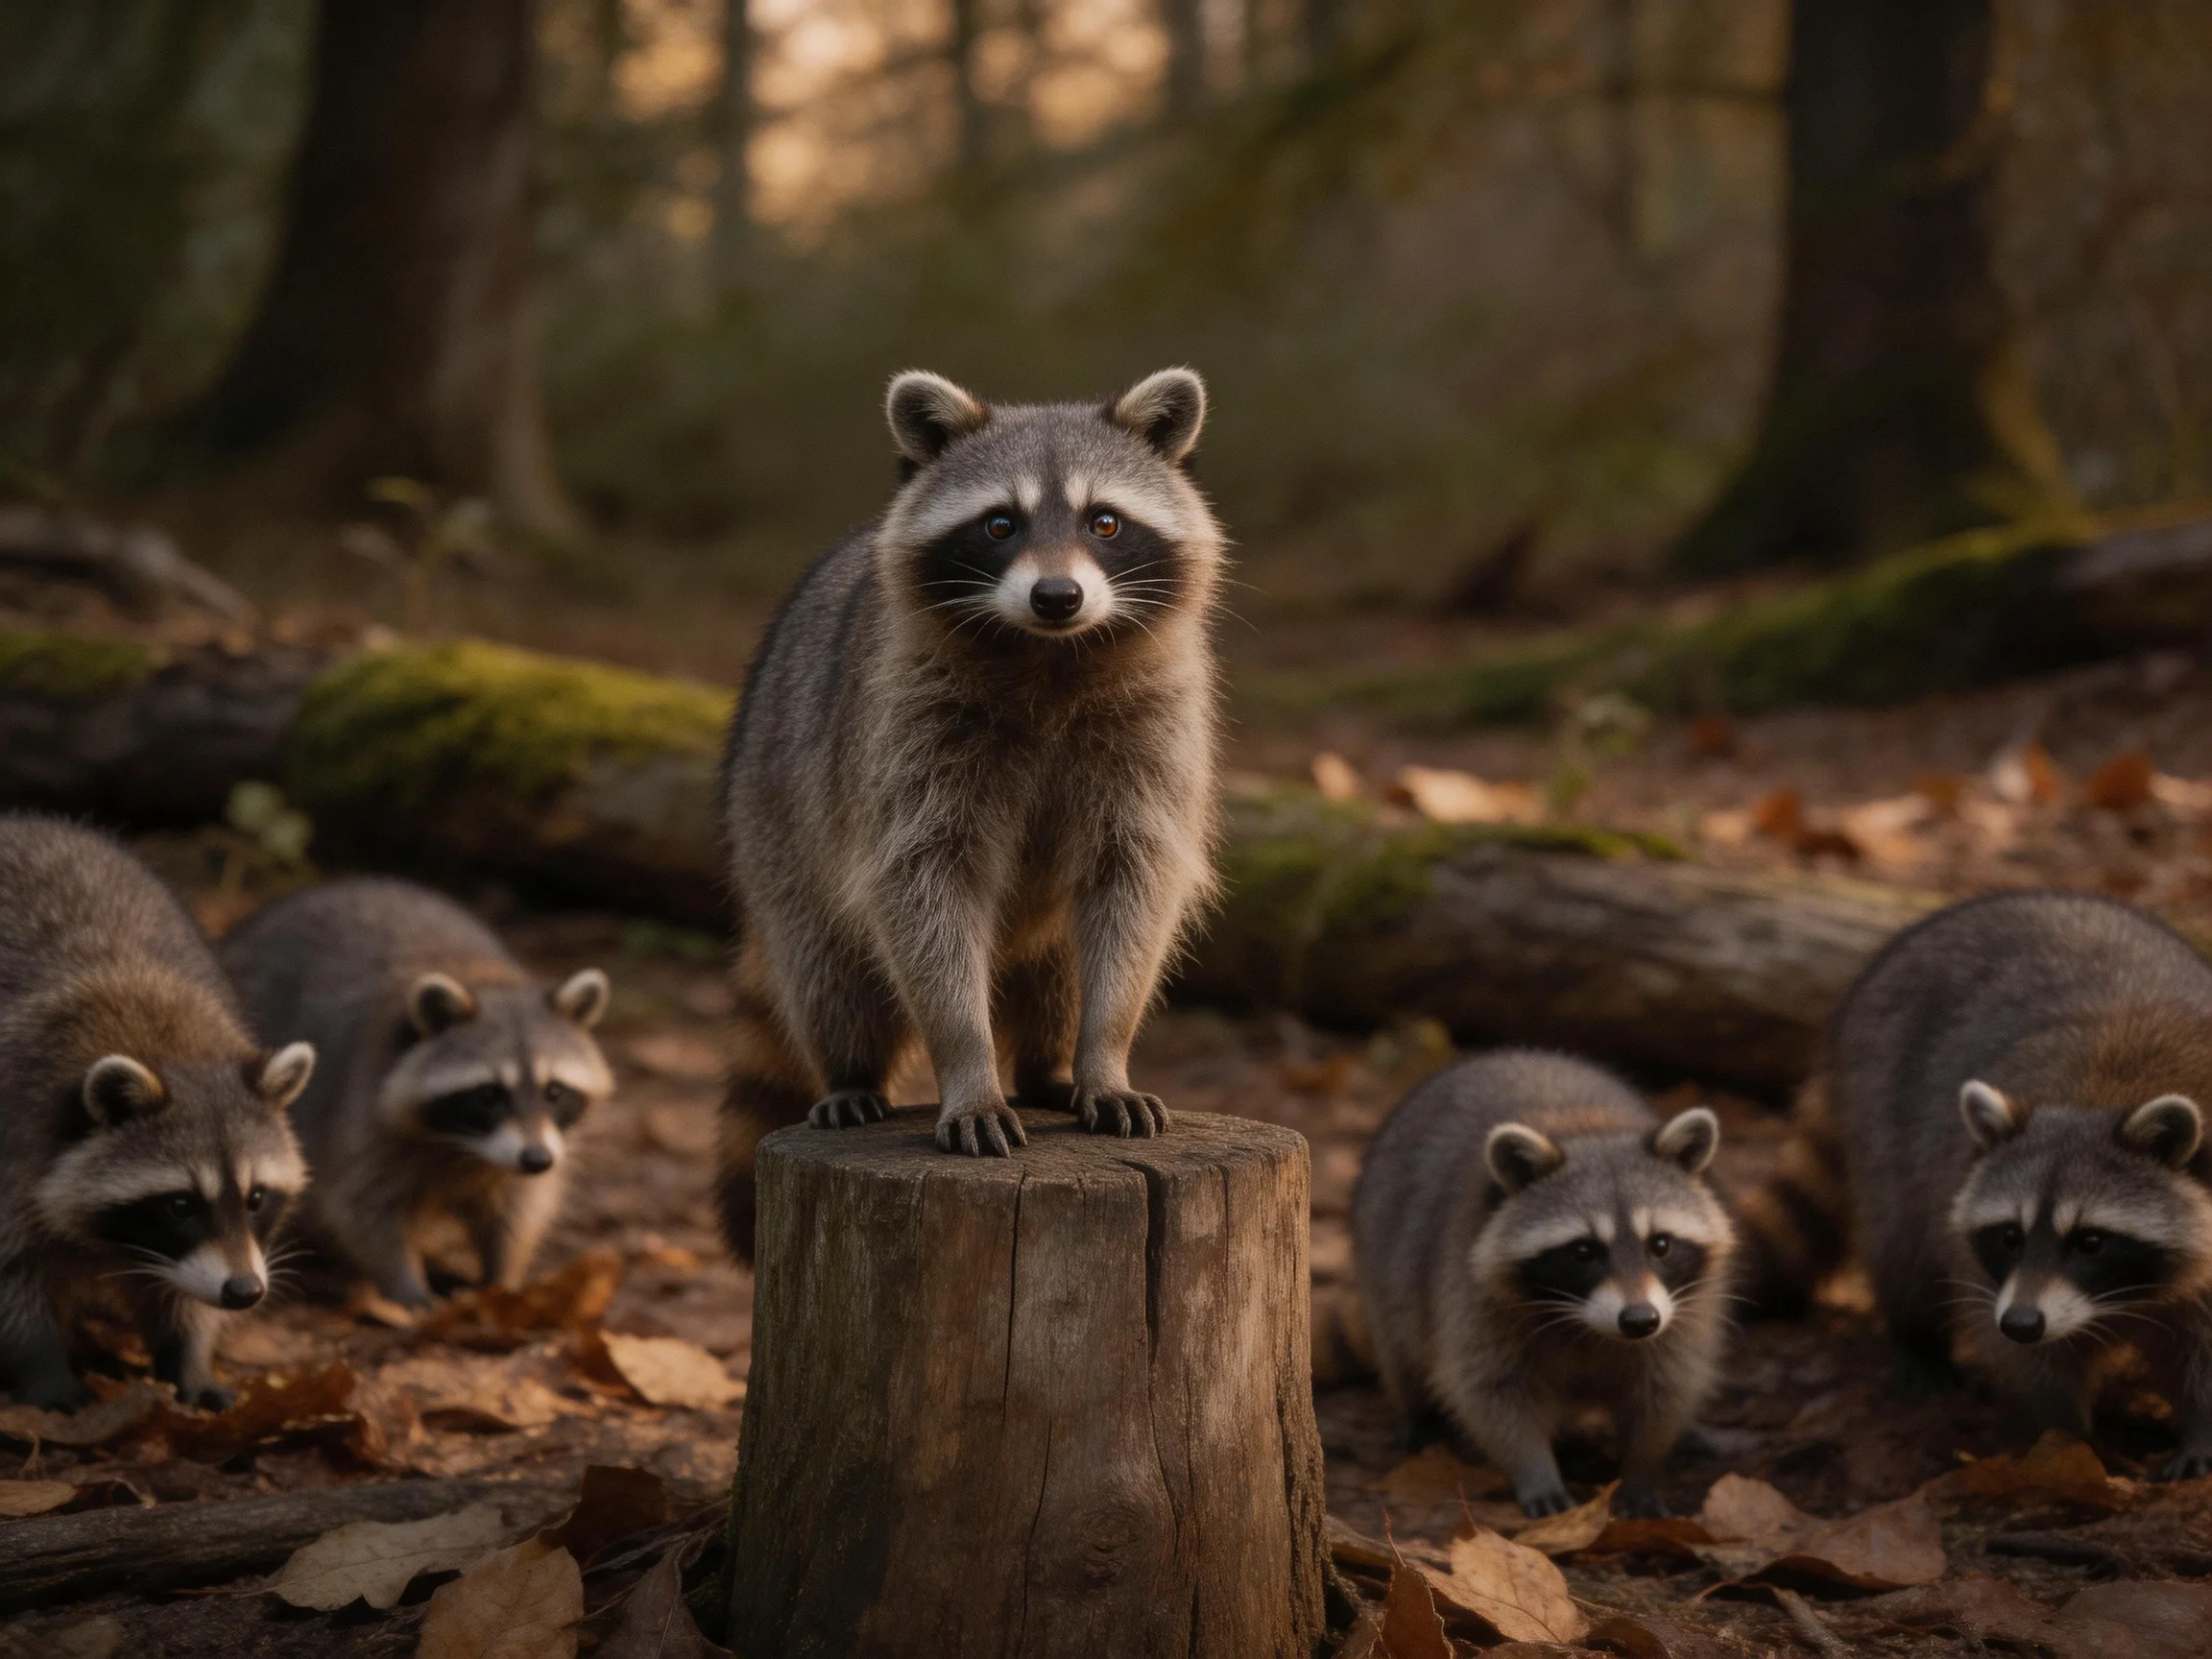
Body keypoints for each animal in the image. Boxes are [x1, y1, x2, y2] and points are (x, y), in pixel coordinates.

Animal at [0, 816, 313, 1409]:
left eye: (256, 1198)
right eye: (180, 1204)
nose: (245, 1292)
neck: (165, 1044)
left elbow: (183, 1299)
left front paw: (188, 1362)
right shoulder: (11, 1135)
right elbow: (12, 1276)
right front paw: (47, 1373)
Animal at [220, 879, 611, 1309]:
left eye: (554, 1091)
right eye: (489, 1094)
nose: (537, 1159)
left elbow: (518, 1207)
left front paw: (503, 1277)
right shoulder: (356, 1108)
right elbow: (365, 1207)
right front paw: (405, 1282)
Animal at [714, 368, 1223, 1255]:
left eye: (1105, 521)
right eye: (999, 523)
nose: (1058, 596)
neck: (1050, 656)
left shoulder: (1157, 727)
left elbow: (1134, 886)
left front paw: (1106, 1051)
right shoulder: (905, 731)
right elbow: (924, 894)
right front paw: (967, 1064)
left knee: (1059, 968)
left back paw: (1051, 1064)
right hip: (774, 820)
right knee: (828, 970)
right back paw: (850, 1072)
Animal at [1353, 1050, 1736, 1517]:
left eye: (1660, 1245)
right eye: (1583, 1251)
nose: (1639, 1320)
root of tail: (1509, 1053)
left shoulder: (1682, 1311)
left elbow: (1665, 1387)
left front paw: (1641, 1469)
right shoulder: (1470, 1290)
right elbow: (1491, 1389)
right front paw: (1535, 1470)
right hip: (1384, 1252)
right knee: (1400, 1342)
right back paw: (1420, 1414)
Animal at [1813, 890, 2212, 1477]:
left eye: (2091, 1242)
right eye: (2009, 1236)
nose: (2023, 1322)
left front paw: (2203, 1432)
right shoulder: (1981, 1259)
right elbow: (2026, 1358)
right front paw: (2067, 1438)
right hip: (1880, 1101)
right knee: (1899, 1242)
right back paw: (1915, 1335)